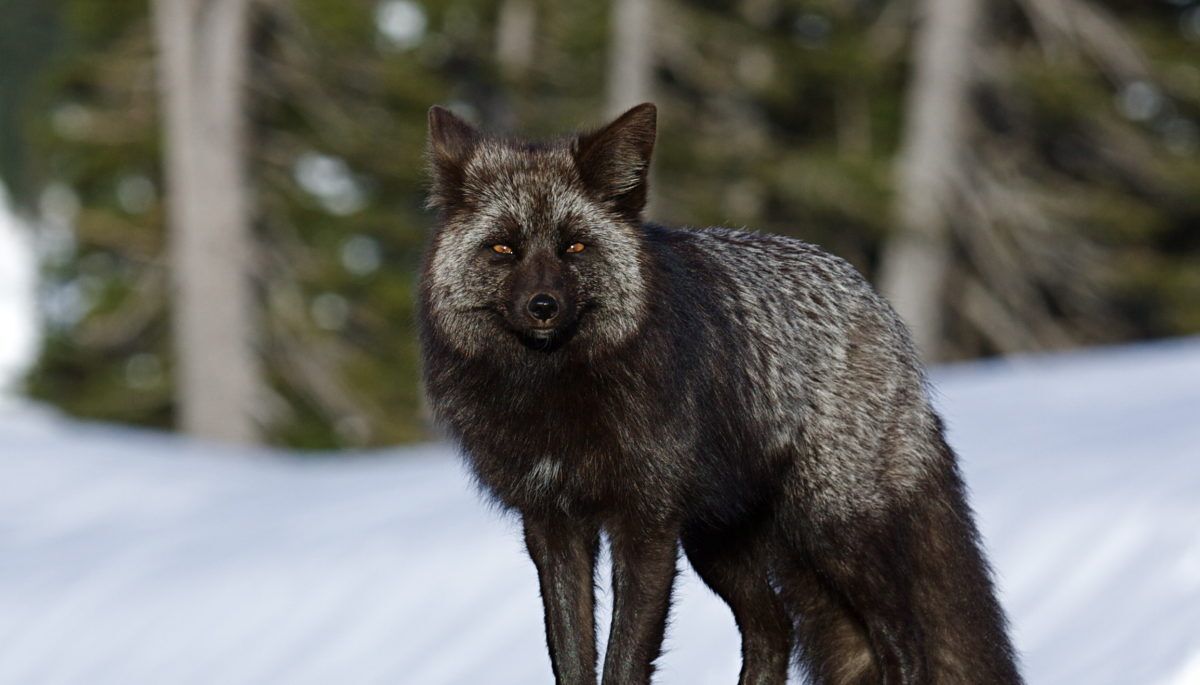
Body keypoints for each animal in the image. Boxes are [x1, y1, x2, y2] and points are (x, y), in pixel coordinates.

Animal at [417, 102, 1022, 685]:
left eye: (575, 246)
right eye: (503, 248)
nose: (543, 306)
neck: (554, 395)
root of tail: (882, 310)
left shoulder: (647, 524)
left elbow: (624, 660)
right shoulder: (552, 524)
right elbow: (570, 657)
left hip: (830, 530)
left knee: (902, 637)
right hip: (720, 542)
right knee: (775, 631)